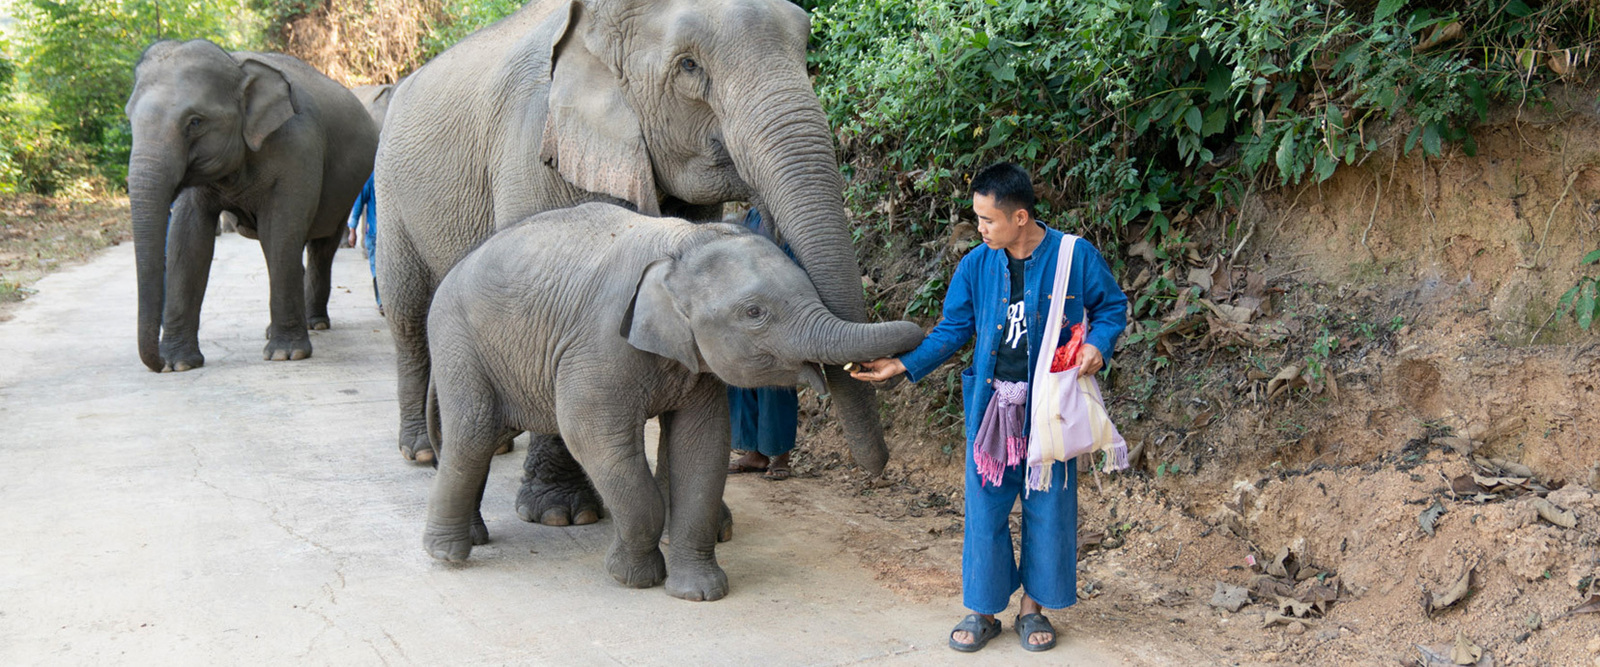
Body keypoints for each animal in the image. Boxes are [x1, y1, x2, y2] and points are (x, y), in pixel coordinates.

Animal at [126, 40, 379, 369]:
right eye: (130, 120)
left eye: (195, 122)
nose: (155, 364)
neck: (236, 66)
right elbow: (188, 237)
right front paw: (177, 363)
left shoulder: (298, 146)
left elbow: (281, 230)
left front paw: (286, 355)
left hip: (345, 190)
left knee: (320, 246)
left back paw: (315, 323)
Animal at [379, 0, 896, 527]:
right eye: (688, 65)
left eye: (804, 43)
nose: (879, 472)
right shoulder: (535, 143)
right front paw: (562, 515)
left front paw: (712, 525)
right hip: (390, 194)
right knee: (408, 312)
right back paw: (421, 451)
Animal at [425, 201, 928, 598]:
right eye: (754, 313)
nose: (880, 365)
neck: (681, 246)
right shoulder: (598, 345)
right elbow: (591, 435)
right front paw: (632, 578)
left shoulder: (696, 366)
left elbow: (701, 445)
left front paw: (700, 592)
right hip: (458, 341)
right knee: (473, 430)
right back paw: (447, 555)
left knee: (485, 434)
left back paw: (469, 538)